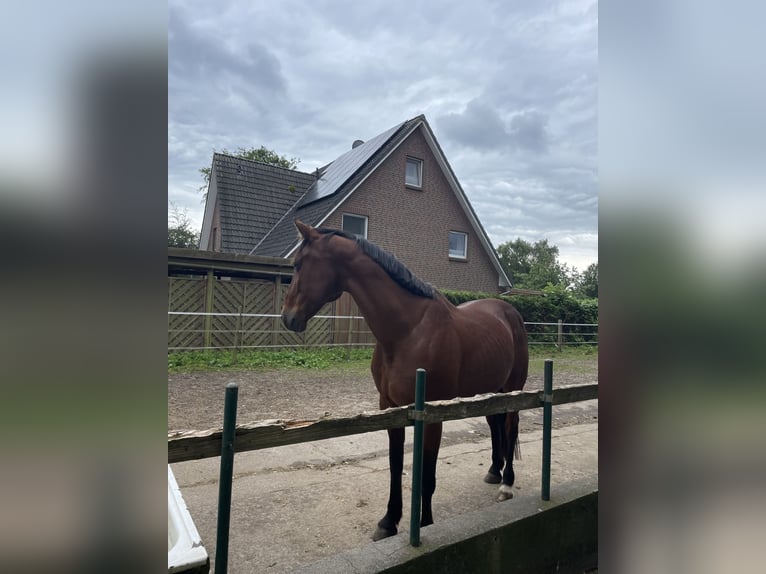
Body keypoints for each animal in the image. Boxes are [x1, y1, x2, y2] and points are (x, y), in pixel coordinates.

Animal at [282, 222, 528, 544]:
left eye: (299, 264)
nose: (288, 317)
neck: (408, 332)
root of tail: (510, 313)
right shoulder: (390, 408)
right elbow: (396, 466)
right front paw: (389, 522)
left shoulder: (432, 415)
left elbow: (427, 474)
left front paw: (425, 525)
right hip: (489, 392)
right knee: (495, 425)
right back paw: (494, 471)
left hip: (513, 390)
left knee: (510, 428)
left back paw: (507, 484)